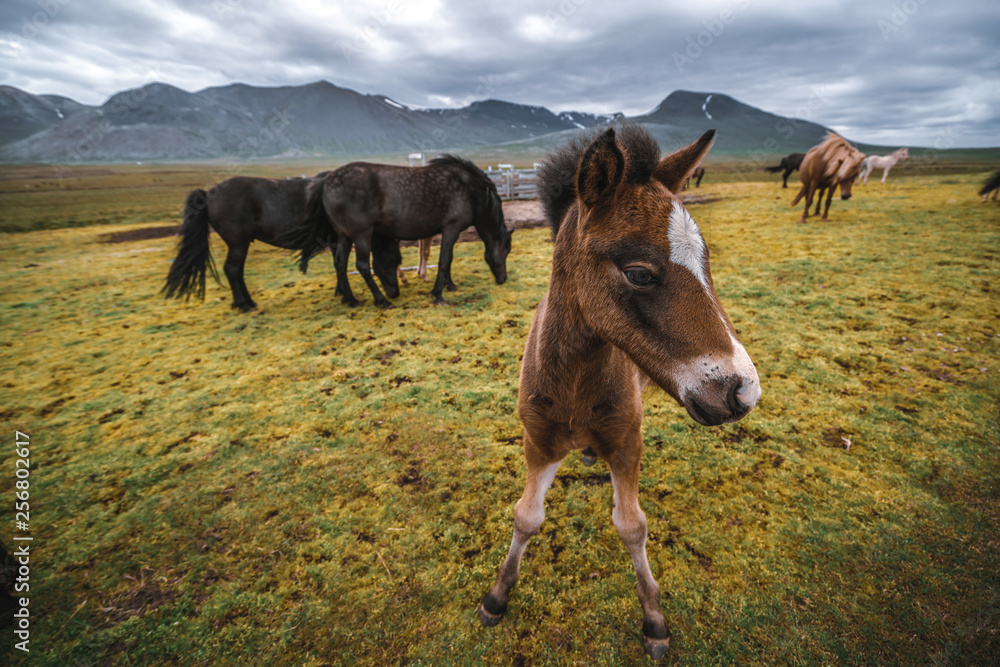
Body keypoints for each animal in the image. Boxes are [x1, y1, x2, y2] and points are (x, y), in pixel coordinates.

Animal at [162, 176, 400, 314]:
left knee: (237, 271)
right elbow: (339, 264)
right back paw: (243, 305)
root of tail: (209, 194)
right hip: (238, 243)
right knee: (232, 269)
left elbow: (337, 264)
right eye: (392, 261)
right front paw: (345, 293)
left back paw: (249, 302)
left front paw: (341, 292)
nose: (394, 292)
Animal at [300, 155, 512, 306]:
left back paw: (351, 300)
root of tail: (325, 181)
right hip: (361, 235)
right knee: (362, 266)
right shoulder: (451, 228)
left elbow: (448, 259)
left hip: (344, 236)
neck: (470, 190)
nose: (503, 279)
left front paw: (450, 285)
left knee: (340, 264)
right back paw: (381, 300)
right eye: (506, 251)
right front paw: (438, 294)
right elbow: (444, 260)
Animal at [480, 125, 760, 664]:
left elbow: (632, 526)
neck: (573, 385)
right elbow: (526, 517)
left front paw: (654, 621)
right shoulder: (537, 443)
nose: (743, 390)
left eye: (706, 261)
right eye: (639, 273)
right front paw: (497, 597)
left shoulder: (629, 442)